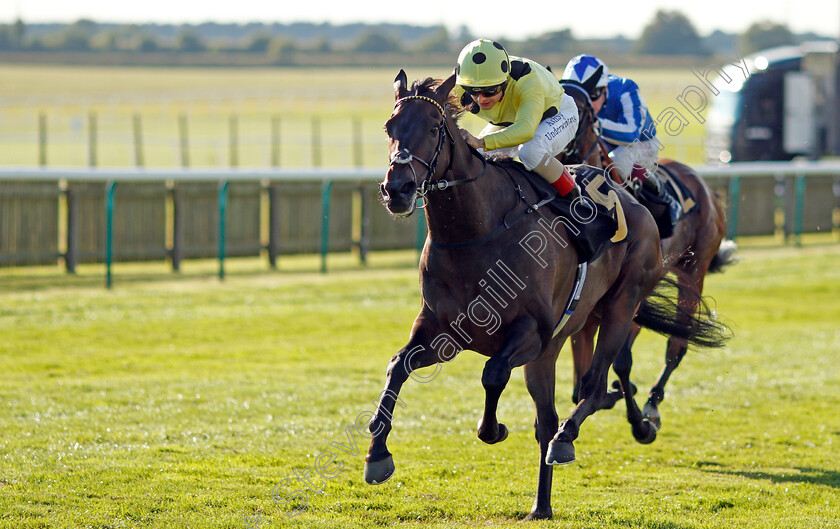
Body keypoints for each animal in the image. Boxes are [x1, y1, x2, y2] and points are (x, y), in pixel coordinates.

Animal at [564, 79, 736, 434]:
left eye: (583, 109)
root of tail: (703, 186)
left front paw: (632, 411)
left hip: (692, 271)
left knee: (676, 345)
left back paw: (652, 403)